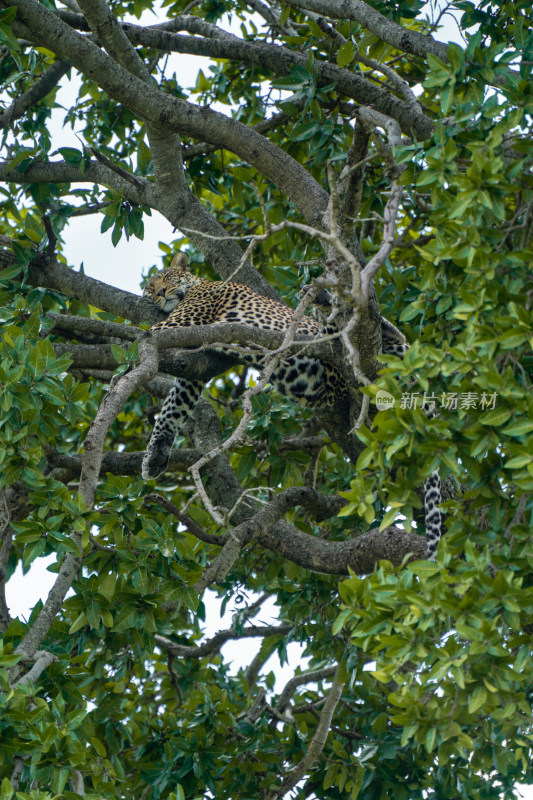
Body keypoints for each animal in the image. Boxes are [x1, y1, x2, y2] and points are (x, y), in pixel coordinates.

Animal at [140, 253, 440, 560]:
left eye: (166, 278)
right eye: (150, 289)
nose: (160, 293)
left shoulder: (181, 323)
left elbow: (142, 338)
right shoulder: (195, 368)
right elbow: (173, 408)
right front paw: (156, 455)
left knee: (358, 334)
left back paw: (329, 301)